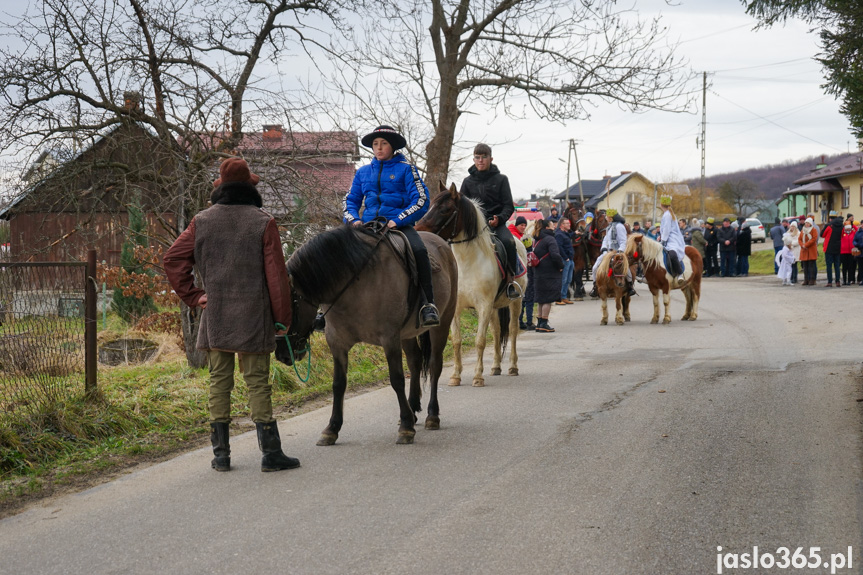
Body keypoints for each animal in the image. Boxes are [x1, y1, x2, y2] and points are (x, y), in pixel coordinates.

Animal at [416, 186, 528, 388]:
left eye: (445, 209)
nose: (418, 230)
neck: (467, 263)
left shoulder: (483, 306)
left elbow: (480, 341)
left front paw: (477, 377)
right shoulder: (457, 308)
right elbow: (457, 341)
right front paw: (455, 376)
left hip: (516, 302)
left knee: (513, 330)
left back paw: (512, 367)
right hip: (494, 307)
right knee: (497, 331)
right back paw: (496, 367)